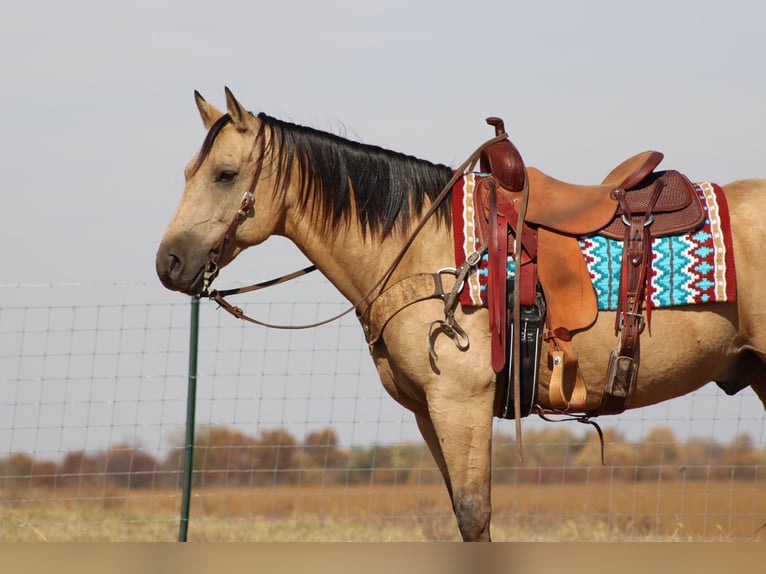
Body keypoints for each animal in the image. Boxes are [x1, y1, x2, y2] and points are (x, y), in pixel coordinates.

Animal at [156, 88, 766, 544]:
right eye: (187, 171)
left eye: (225, 174)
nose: (169, 263)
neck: (422, 248)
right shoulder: (428, 411)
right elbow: (460, 511)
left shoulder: (461, 402)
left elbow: (475, 515)